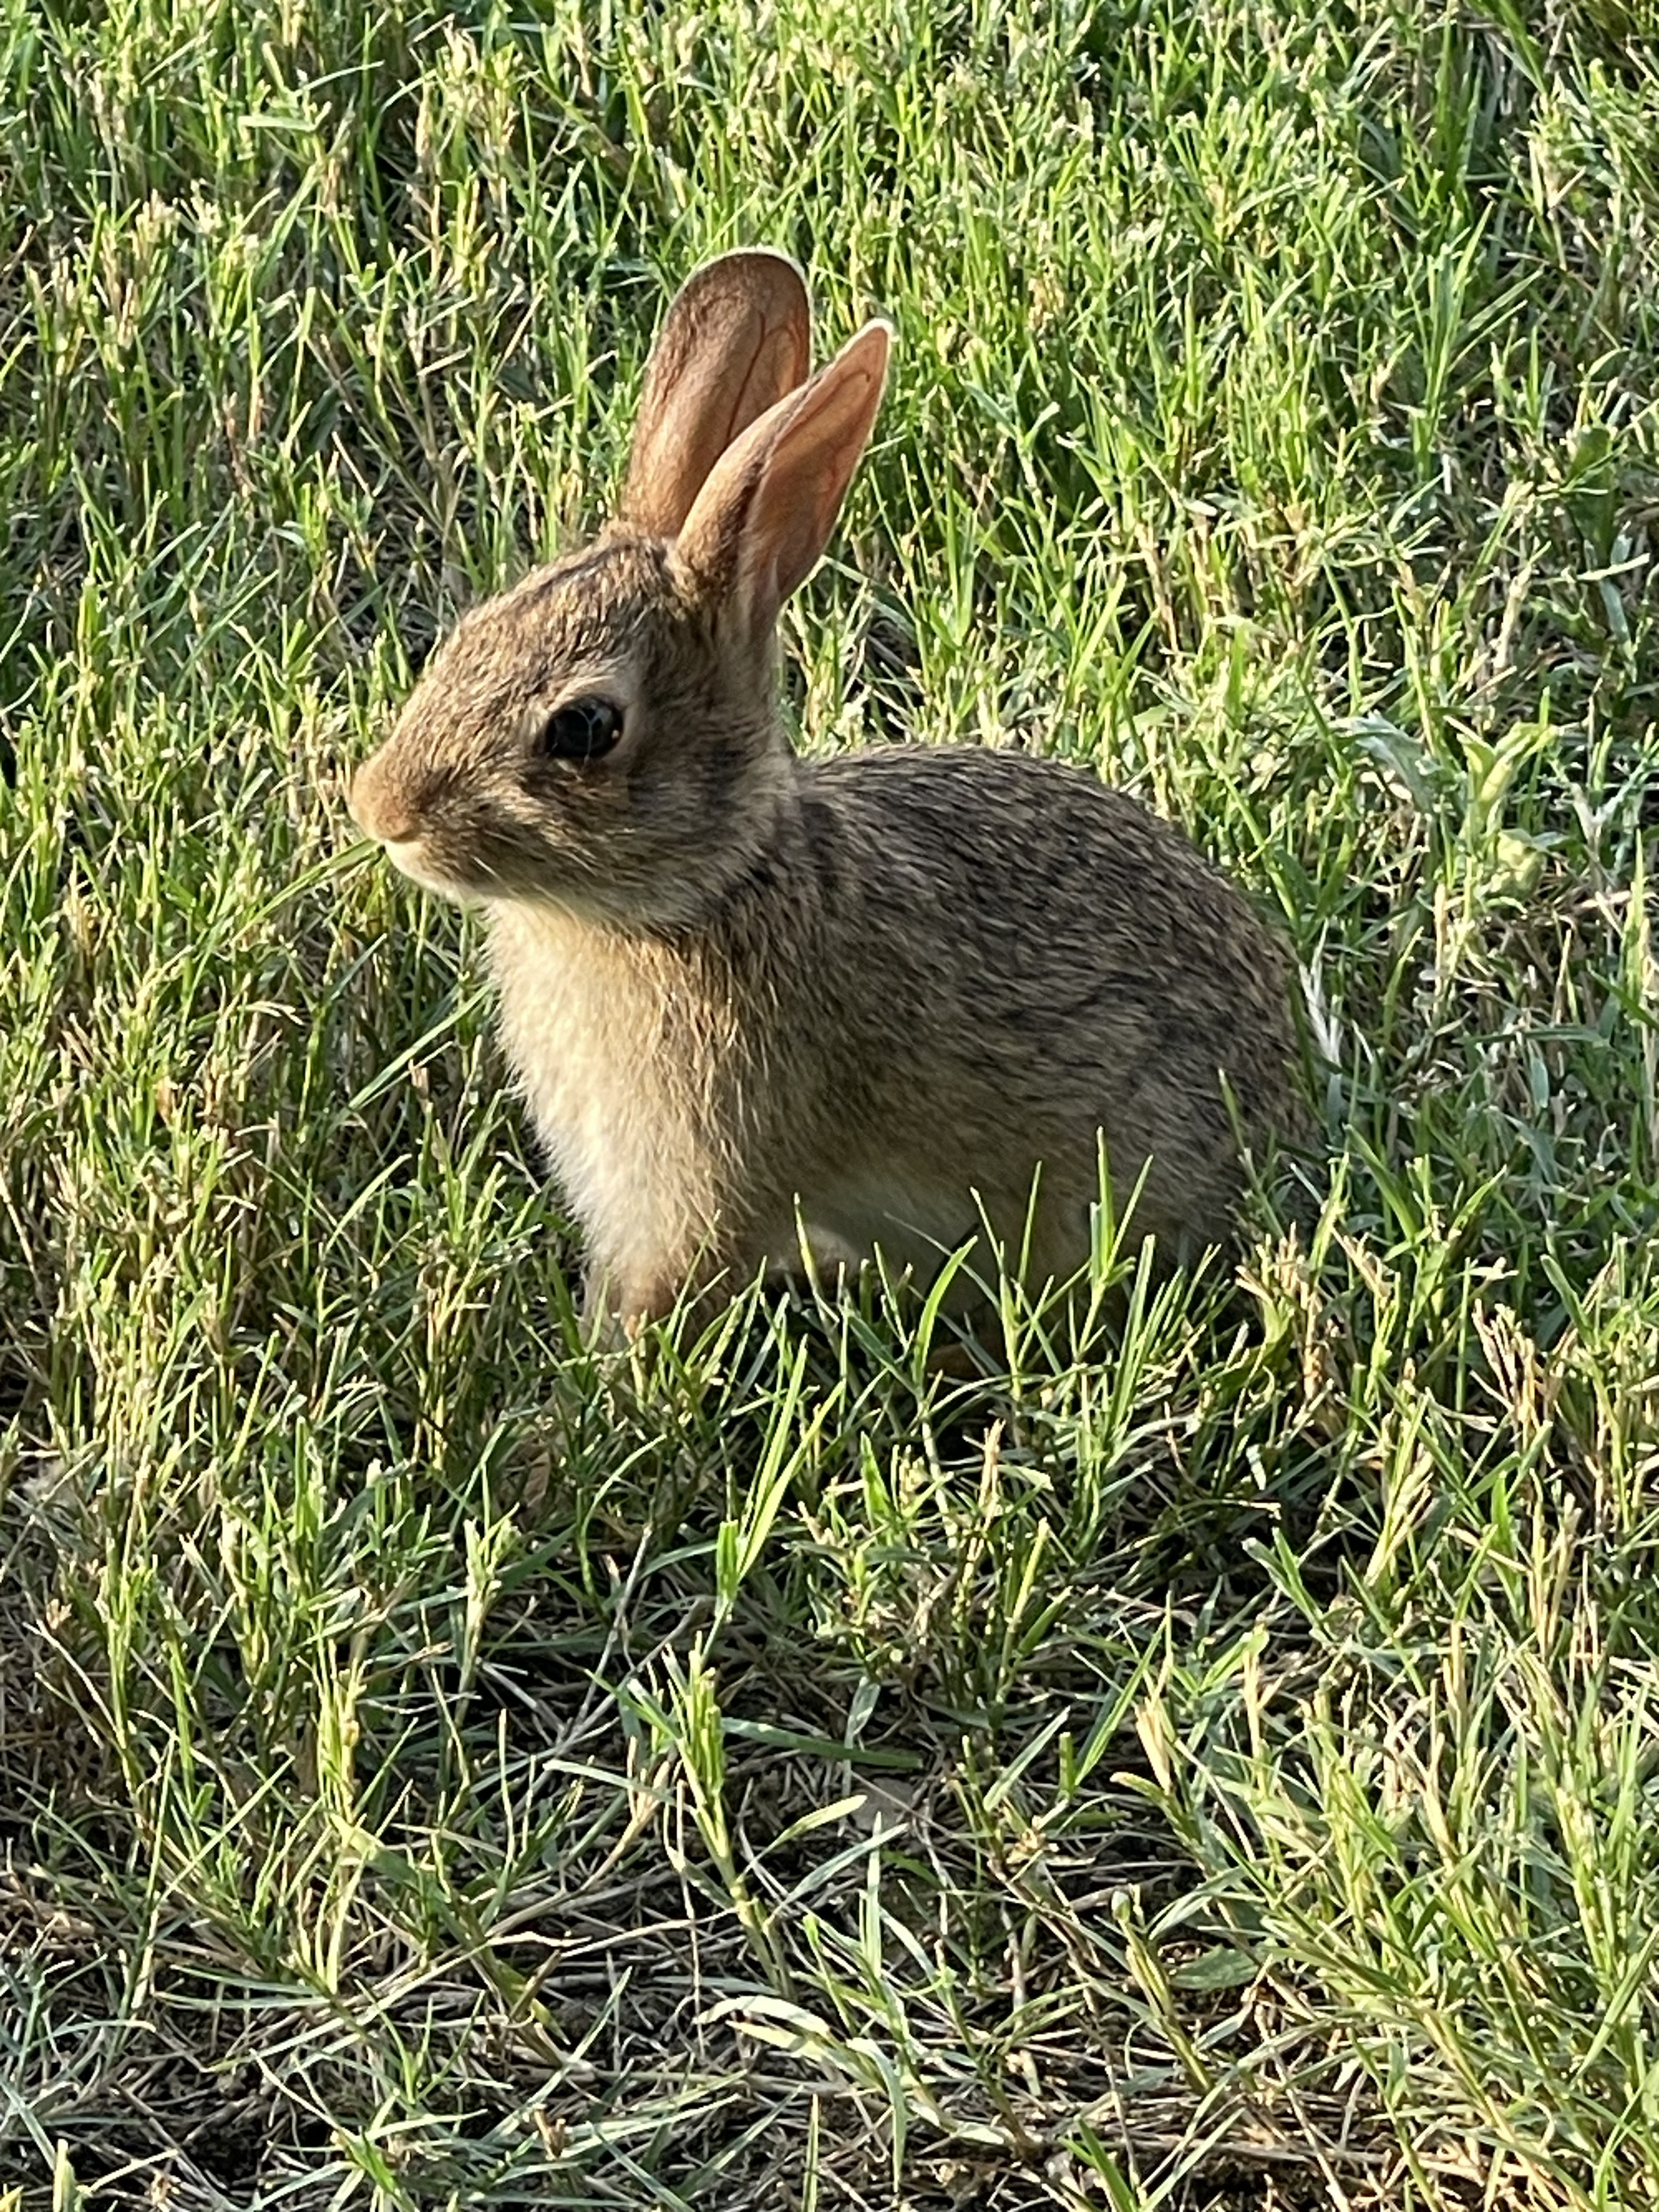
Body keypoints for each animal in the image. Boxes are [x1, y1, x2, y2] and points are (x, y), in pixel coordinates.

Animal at [348, 248, 1306, 1338]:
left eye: (584, 729)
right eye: (468, 634)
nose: (382, 812)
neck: (708, 893)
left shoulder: (702, 1190)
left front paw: (606, 1370)